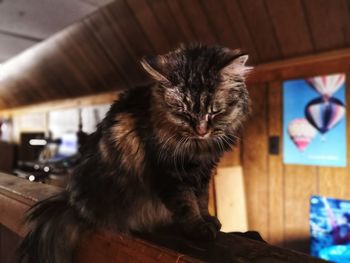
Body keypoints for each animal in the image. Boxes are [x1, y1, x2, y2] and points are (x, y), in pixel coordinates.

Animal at [18, 44, 252, 262]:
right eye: (183, 113)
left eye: (215, 111)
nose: (201, 131)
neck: (199, 148)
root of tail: (73, 206)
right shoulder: (170, 173)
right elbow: (187, 204)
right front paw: (198, 229)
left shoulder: (204, 171)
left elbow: (202, 199)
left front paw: (209, 219)